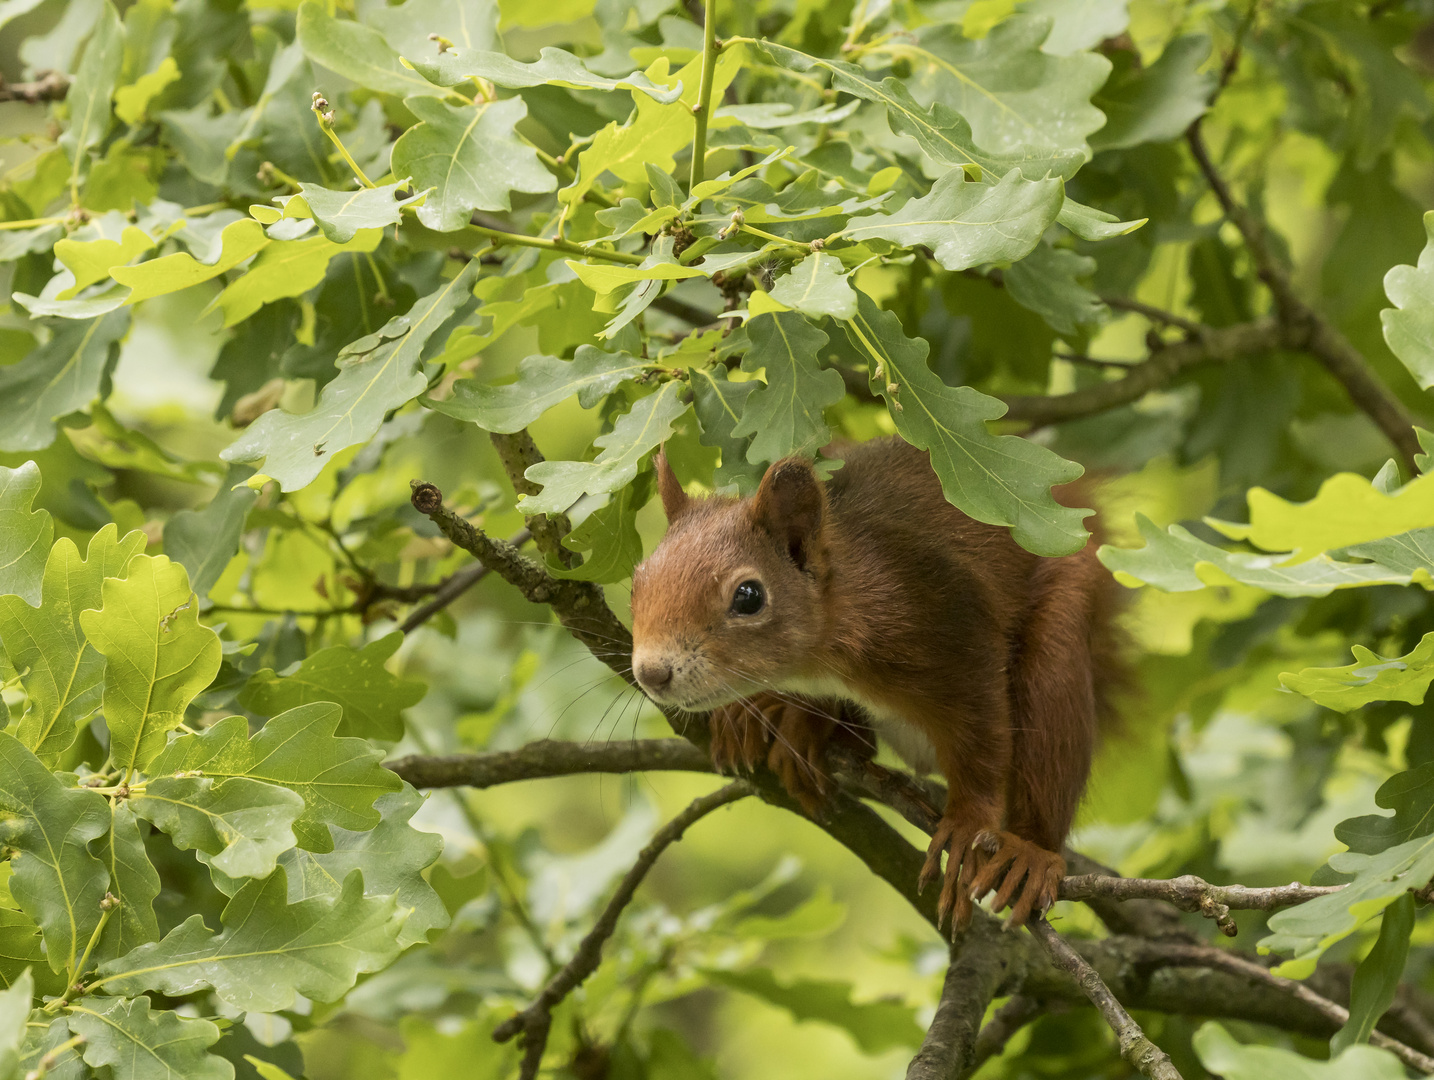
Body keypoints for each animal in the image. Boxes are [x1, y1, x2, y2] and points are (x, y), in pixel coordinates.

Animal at [633, 436, 1124, 929]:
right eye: (637, 581)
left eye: (749, 597)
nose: (651, 673)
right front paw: (785, 719)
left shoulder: (955, 632)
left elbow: (982, 738)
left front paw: (968, 823)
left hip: (1060, 628)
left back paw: (1030, 852)